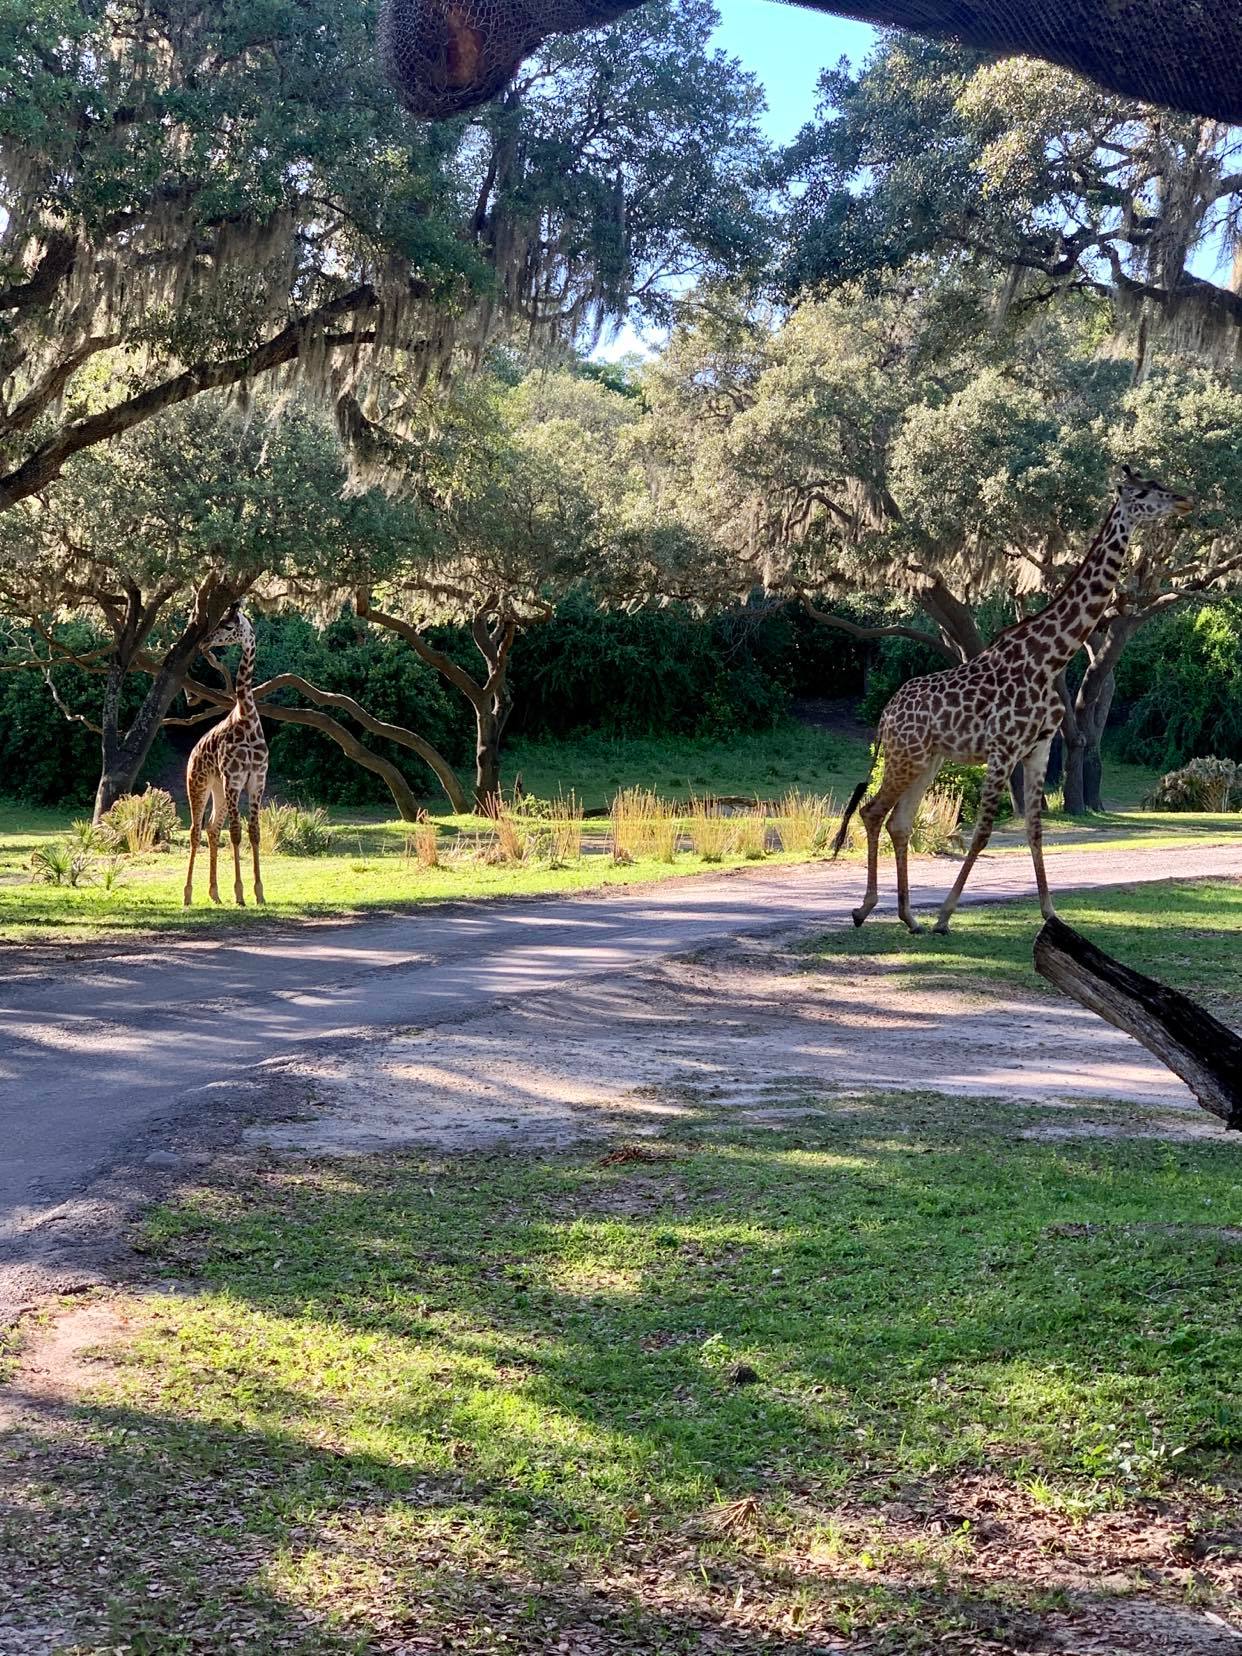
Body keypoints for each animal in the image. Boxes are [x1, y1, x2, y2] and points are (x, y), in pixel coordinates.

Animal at [182, 605, 269, 908]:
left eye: (229, 626)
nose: (205, 641)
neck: (246, 716)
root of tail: (192, 753)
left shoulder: (256, 781)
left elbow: (253, 833)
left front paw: (259, 893)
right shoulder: (234, 780)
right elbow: (236, 833)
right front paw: (241, 893)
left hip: (218, 788)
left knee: (211, 828)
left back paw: (215, 893)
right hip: (199, 783)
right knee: (196, 831)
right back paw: (187, 894)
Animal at [832, 468, 1192, 935]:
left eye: (1161, 483)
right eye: (1145, 491)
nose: (1184, 500)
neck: (1050, 657)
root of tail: (886, 714)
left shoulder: (1038, 747)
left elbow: (1035, 829)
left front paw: (1051, 912)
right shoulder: (1003, 748)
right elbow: (983, 830)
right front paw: (945, 915)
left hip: (928, 759)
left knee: (900, 821)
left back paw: (908, 917)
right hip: (904, 754)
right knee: (874, 811)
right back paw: (866, 908)